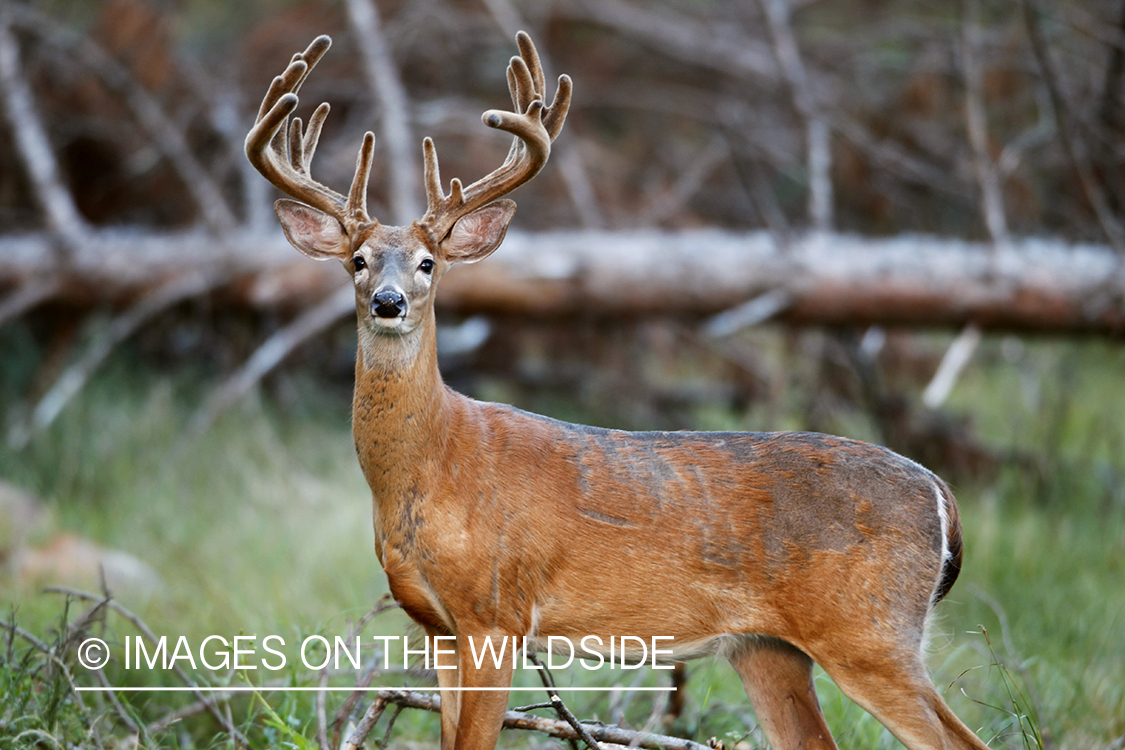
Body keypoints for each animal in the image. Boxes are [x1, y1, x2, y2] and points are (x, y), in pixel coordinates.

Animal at [248, 32, 994, 746]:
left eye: (428, 262)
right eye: (358, 259)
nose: (389, 301)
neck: (431, 465)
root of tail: (940, 492)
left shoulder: (497, 612)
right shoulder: (436, 624)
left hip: (868, 630)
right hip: (766, 647)